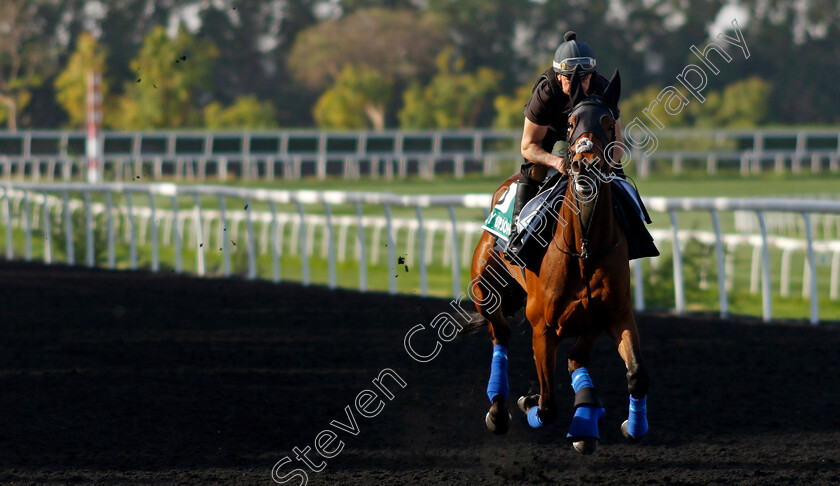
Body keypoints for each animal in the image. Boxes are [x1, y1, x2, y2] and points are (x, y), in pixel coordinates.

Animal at [470, 66, 648, 454]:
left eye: (608, 122)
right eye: (570, 123)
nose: (585, 166)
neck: (584, 248)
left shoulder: (613, 314)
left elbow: (635, 375)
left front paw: (626, 425)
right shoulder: (543, 327)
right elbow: (548, 406)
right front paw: (529, 404)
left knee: (572, 359)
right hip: (484, 289)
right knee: (501, 335)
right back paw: (499, 410)